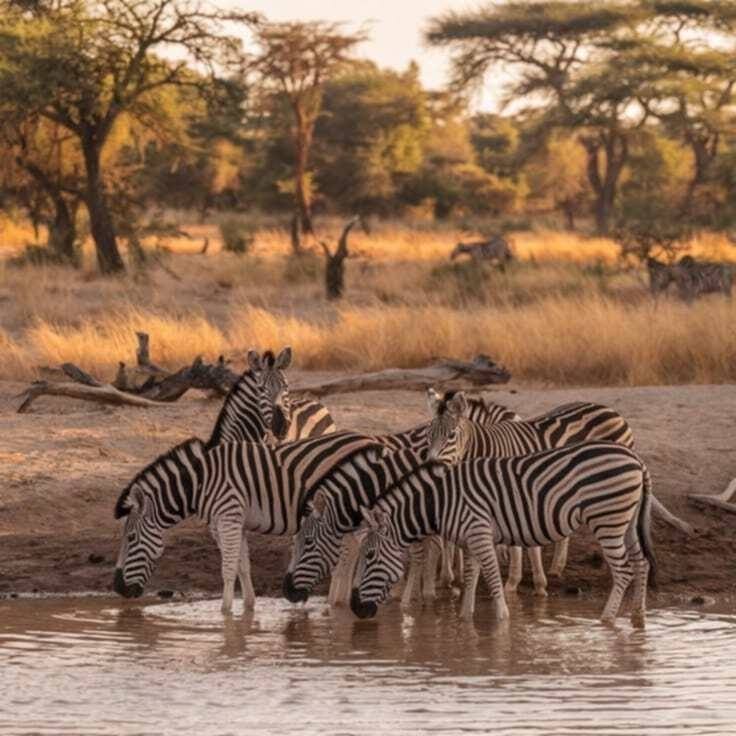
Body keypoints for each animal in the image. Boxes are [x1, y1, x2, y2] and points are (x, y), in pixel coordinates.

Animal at [113, 431, 384, 613]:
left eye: (131, 538)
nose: (118, 588)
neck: (199, 482)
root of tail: (372, 439)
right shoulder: (232, 522)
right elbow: (242, 564)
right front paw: (249, 608)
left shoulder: (228, 517)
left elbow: (228, 567)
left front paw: (225, 613)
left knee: (352, 550)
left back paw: (336, 602)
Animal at [350, 441, 656, 627]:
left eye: (370, 555)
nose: (355, 609)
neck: (440, 500)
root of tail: (637, 459)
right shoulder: (469, 540)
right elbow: (471, 577)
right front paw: (465, 619)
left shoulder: (479, 532)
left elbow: (493, 577)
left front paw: (503, 621)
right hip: (626, 522)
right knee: (641, 563)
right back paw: (638, 617)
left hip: (607, 519)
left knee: (624, 571)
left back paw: (607, 620)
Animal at [425, 389, 691, 600]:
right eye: (428, 436)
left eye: (450, 435)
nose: (430, 465)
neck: (484, 447)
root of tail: (612, 411)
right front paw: (452, 577)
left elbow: (516, 542)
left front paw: (514, 582)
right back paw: (557, 567)